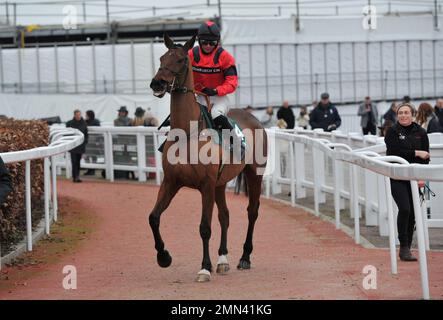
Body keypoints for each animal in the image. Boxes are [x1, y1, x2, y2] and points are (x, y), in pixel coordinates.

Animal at [149, 33, 268, 282]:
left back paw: (245, 257)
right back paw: (223, 260)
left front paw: (204, 267)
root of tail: (254, 118)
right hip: (220, 184)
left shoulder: (205, 184)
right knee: (225, 215)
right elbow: (153, 217)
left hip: (254, 174)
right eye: (162, 58)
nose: (157, 83)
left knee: (252, 212)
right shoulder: (172, 182)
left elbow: (204, 227)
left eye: (181, 59)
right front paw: (164, 256)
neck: (187, 133)